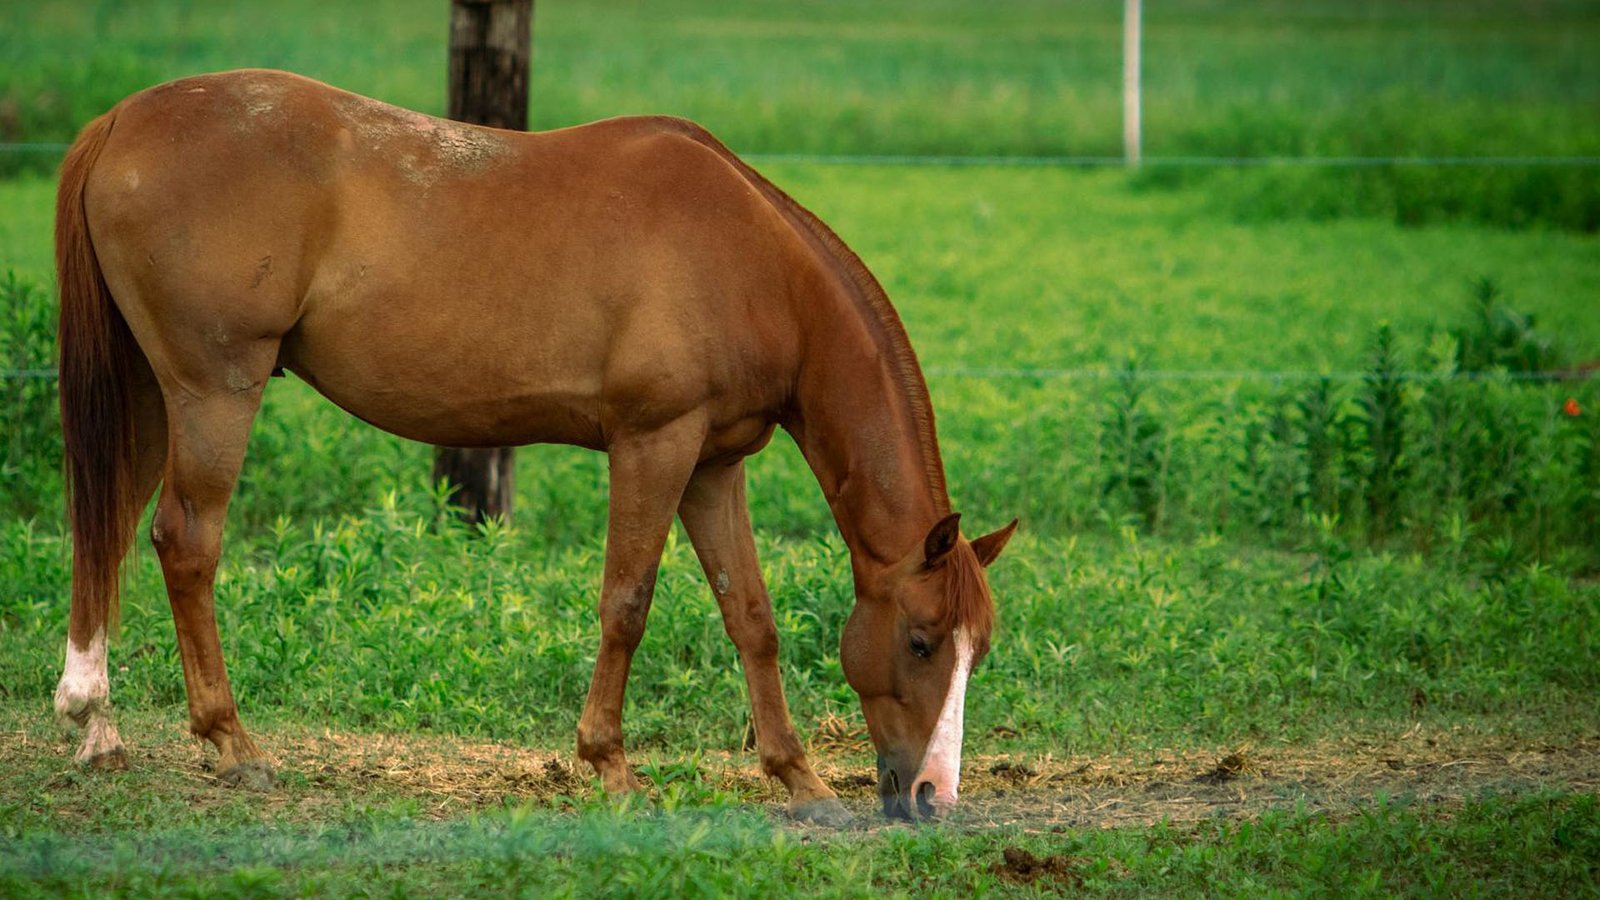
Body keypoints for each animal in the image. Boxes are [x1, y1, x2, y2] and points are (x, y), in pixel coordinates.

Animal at [59, 71, 1024, 819]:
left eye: (976, 648)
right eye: (923, 641)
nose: (934, 796)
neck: (754, 262)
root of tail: (119, 121)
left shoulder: (714, 465)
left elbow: (751, 616)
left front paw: (800, 780)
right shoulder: (654, 444)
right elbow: (627, 602)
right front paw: (611, 765)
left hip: (147, 393)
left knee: (105, 535)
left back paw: (94, 724)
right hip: (215, 392)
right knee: (185, 542)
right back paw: (231, 741)